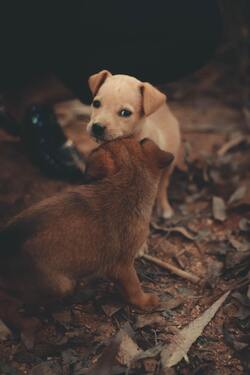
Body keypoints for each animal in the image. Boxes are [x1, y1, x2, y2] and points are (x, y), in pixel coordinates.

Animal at [0, 137, 173, 344]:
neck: (127, 182)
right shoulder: (123, 265)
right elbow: (134, 287)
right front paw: (145, 301)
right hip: (59, 286)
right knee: (7, 303)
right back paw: (27, 323)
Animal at [87, 70, 181, 220]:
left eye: (125, 113)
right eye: (96, 103)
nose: (97, 127)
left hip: (169, 166)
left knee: (163, 186)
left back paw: (165, 208)